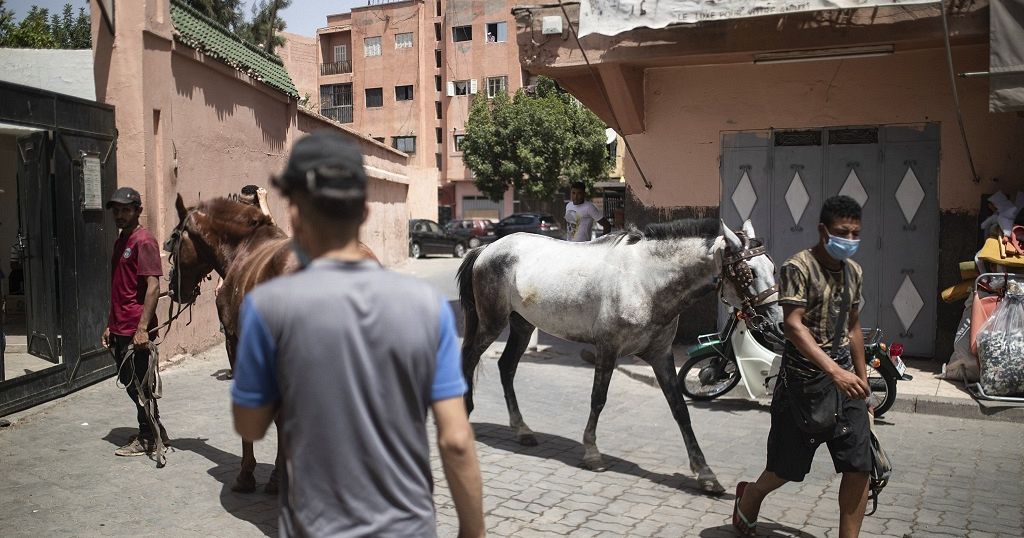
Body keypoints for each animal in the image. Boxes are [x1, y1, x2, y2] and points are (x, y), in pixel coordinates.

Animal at [456, 217, 774, 489]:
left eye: (772, 267)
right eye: (749, 272)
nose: (773, 318)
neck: (645, 282)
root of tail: (488, 248)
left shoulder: (661, 355)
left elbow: (680, 409)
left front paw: (705, 474)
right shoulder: (607, 349)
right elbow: (598, 399)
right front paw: (592, 453)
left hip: (522, 325)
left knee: (507, 366)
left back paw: (522, 430)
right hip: (492, 323)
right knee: (469, 359)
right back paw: (468, 414)